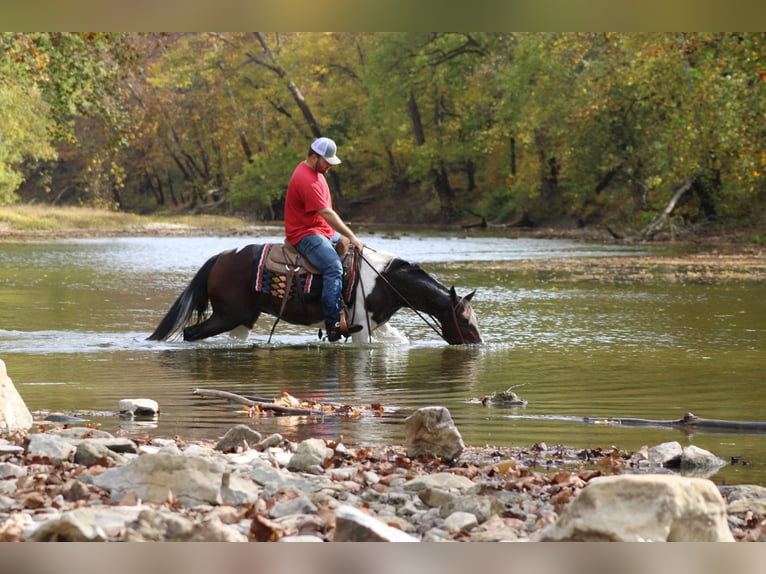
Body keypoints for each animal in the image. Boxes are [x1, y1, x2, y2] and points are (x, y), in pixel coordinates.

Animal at [147, 244, 484, 346]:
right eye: (466, 322)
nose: (479, 346)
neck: (384, 280)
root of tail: (219, 257)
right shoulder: (361, 327)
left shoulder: (378, 324)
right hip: (228, 315)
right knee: (190, 333)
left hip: (241, 320)